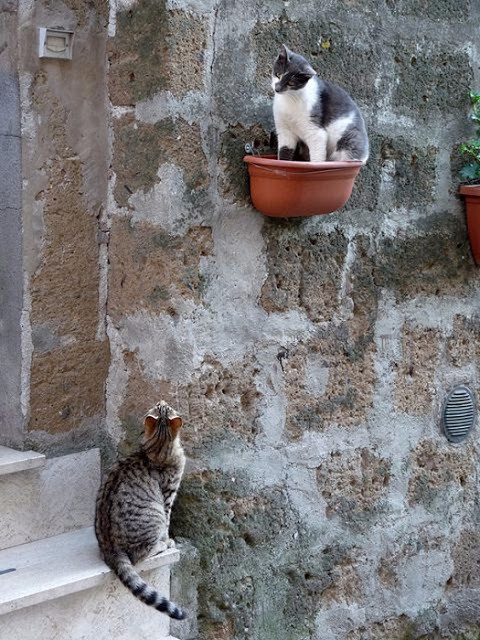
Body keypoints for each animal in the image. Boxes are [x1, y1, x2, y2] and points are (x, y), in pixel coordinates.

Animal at [94, 402, 186, 616]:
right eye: (160, 406)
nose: (162, 400)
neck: (158, 448)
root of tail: (111, 551)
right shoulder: (168, 496)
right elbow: (168, 524)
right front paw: (168, 540)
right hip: (155, 515)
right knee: (139, 556)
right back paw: (162, 545)